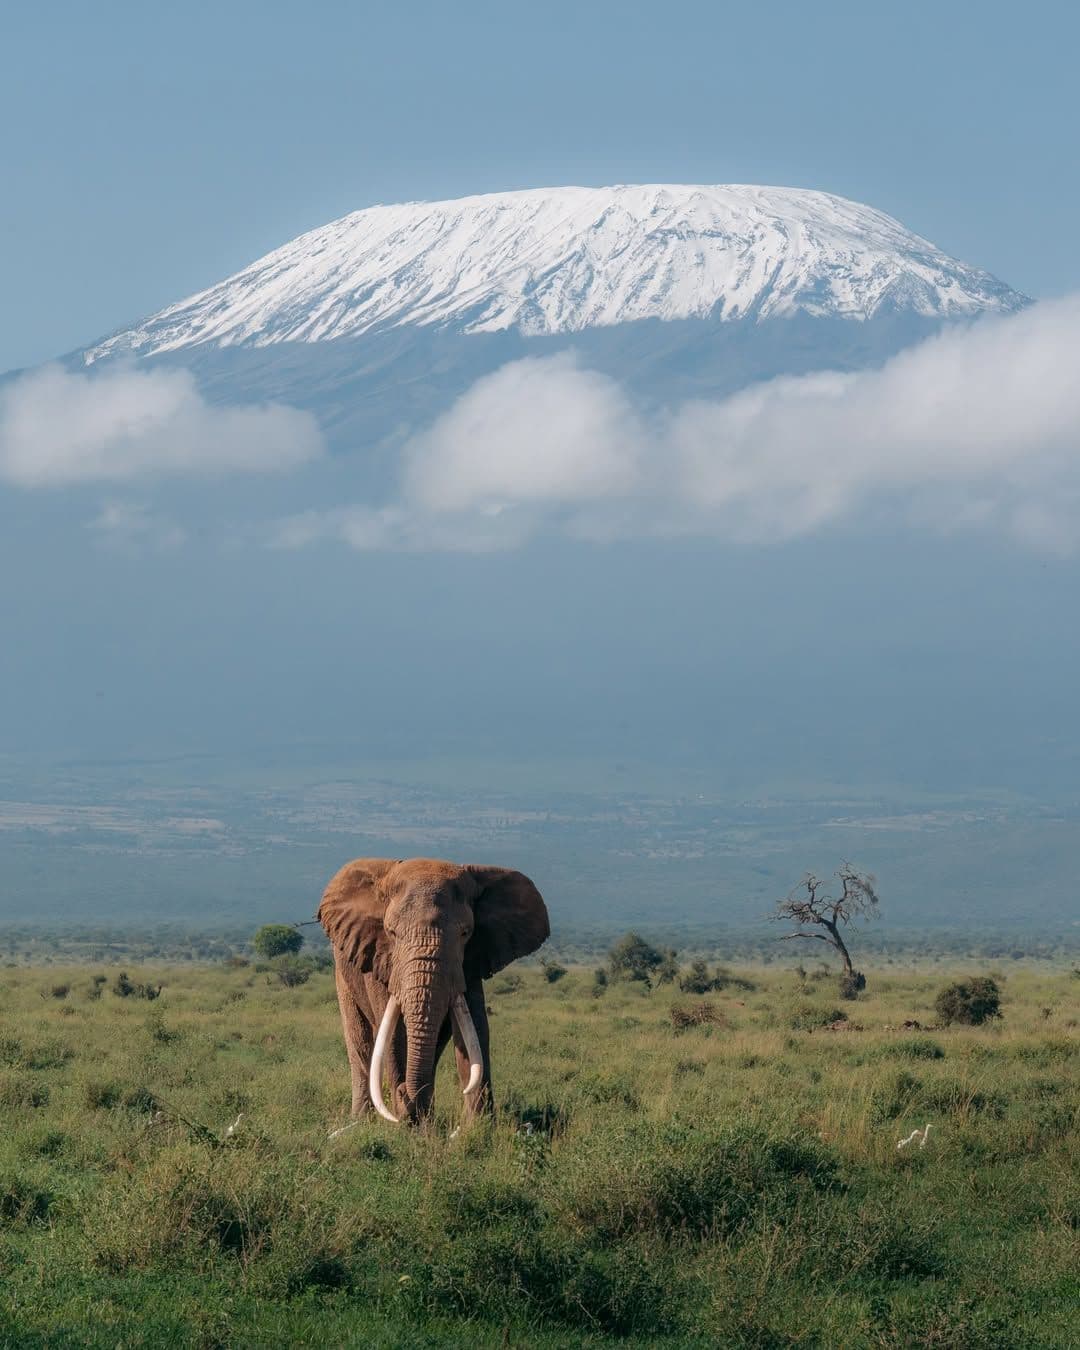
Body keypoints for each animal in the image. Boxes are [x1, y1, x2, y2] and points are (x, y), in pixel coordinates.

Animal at [319, 856, 549, 1126]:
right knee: (361, 1043)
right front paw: (406, 1125)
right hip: (343, 973)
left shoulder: (470, 961)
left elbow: (475, 1030)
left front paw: (476, 1128)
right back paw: (362, 1120)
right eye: (391, 932)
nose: (403, 1095)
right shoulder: (380, 959)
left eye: (465, 933)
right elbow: (393, 1035)